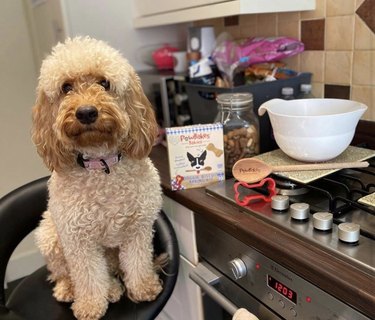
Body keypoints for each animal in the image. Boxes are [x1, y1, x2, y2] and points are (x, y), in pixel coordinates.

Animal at [31, 37, 163, 318]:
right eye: (66, 87)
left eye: (104, 83)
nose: (86, 112)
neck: (102, 166)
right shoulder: (78, 240)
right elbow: (88, 277)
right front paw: (90, 305)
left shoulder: (138, 228)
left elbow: (138, 262)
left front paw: (143, 288)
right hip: (50, 236)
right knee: (63, 273)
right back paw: (73, 289)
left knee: (111, 268)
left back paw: (113, 288)